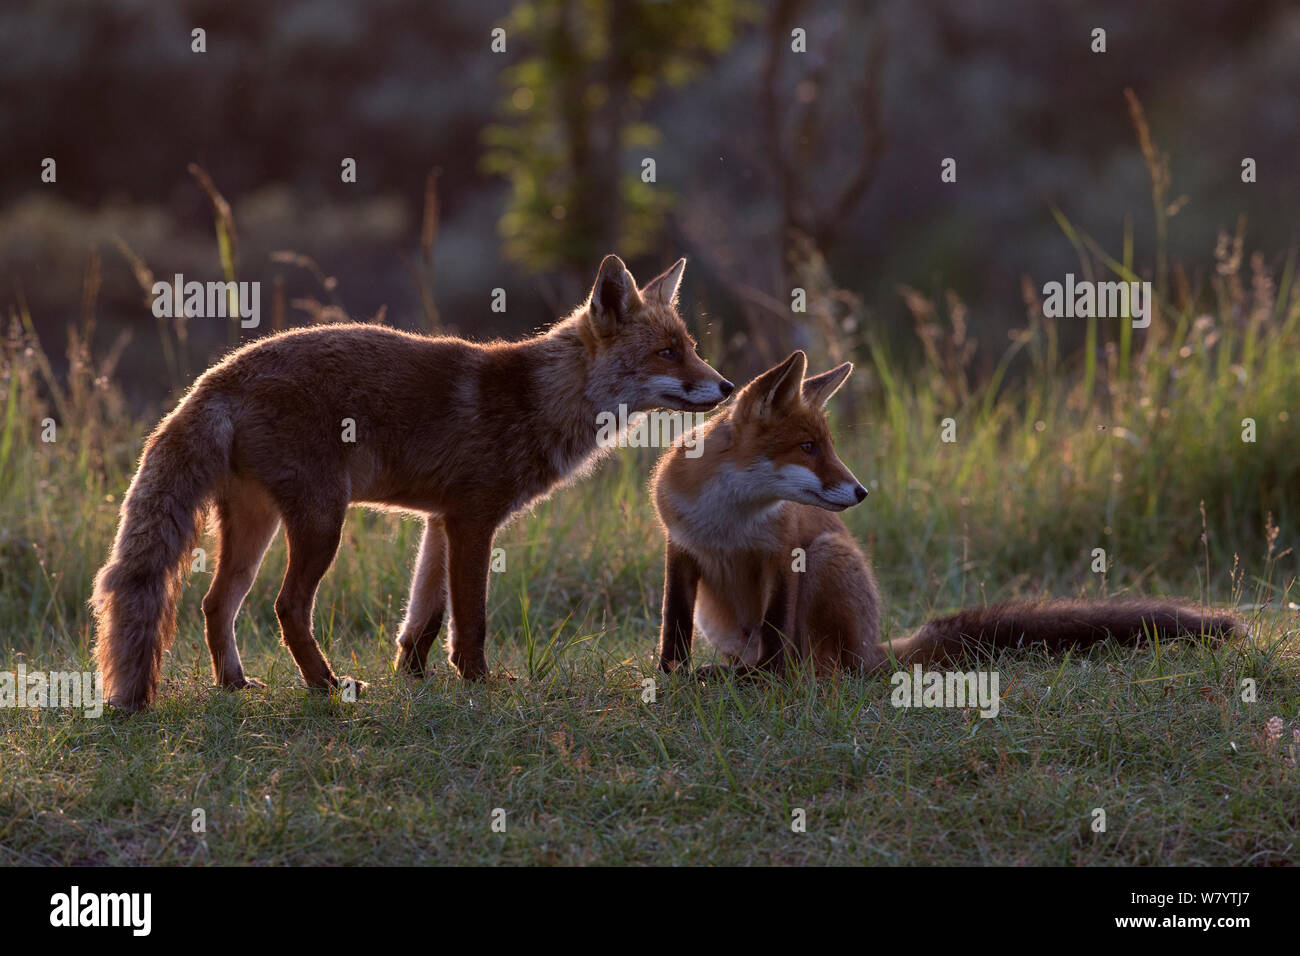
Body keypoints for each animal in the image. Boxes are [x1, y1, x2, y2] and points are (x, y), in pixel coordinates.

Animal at [94, 254, 733, 712]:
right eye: (667, 353)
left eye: (691, 349)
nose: (727, 387)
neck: (538, 401)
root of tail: (215, 377)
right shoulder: (473, 519)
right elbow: (470, 617)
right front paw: (478, 681)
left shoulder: (438, 520)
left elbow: (423, 616)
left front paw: (414, 675)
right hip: (322, 522)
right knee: (287, 606)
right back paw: (325, 685)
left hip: (258, 526)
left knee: (215, 603)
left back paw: (234, 683)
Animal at [650, 353, 1237, 681]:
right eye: (808, 447)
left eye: (828, 446)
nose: (861, 491)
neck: (729, 519)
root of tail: (876, 648)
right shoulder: (680, 547)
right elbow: (672, 624)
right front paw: (669, 676)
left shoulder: (785, 551)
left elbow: (774, 639)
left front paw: (756, 683)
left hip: (828, 557)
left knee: (824, 668)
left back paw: (782, 677)